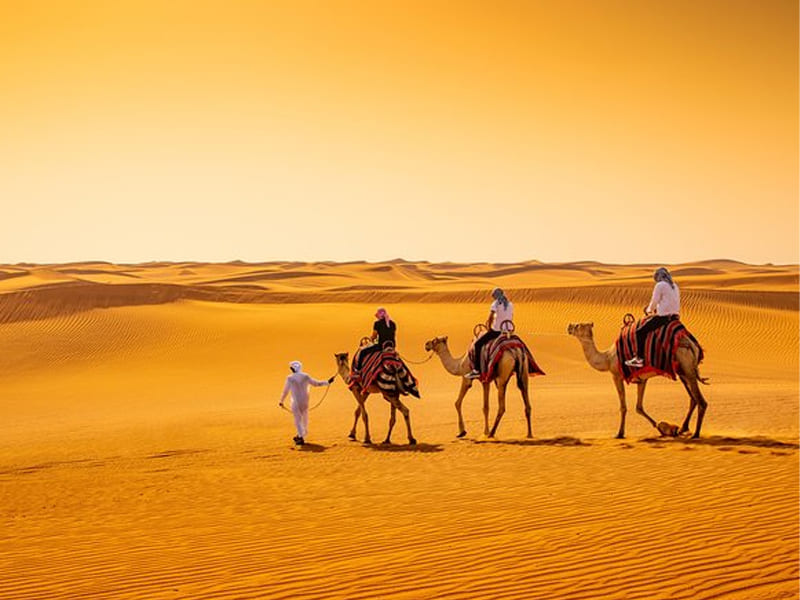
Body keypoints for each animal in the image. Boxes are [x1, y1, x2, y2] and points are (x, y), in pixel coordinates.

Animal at [567, 322, 709, 439]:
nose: (569, 326)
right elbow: (639, 407)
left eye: (578, 325)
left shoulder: (616, 376)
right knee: (693, 399)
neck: (607, 358)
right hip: (682, 371)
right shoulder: (642, 379)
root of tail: (692, 345)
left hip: (687, 368)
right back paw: (683, 428)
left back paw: (696, 434)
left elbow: (623, 407)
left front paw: (619, 433)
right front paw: (665, 429)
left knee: (701, 401)